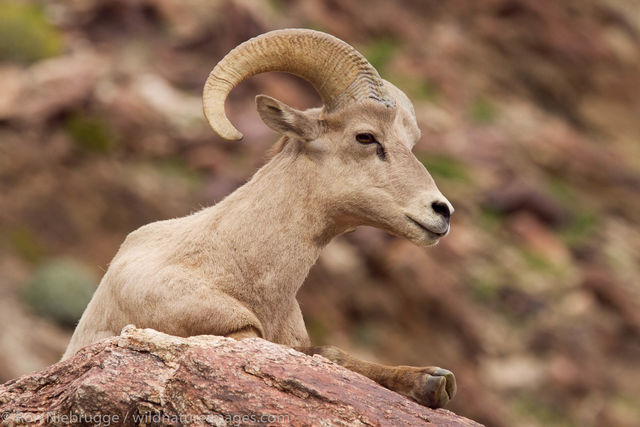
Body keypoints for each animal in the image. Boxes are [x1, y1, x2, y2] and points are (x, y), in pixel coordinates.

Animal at [63, 28, 456, 410]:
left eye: (410, 143)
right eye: (365, 136)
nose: (442, 211)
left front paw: (433, 382)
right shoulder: (235, 332)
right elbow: (327, 355)